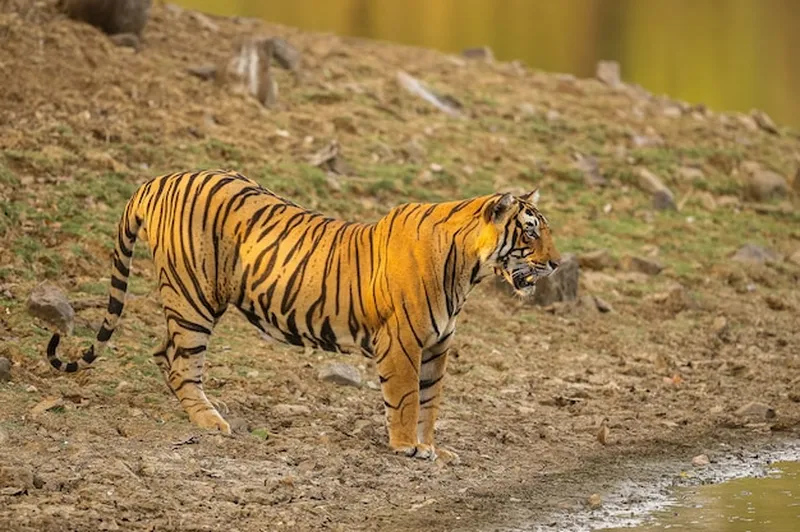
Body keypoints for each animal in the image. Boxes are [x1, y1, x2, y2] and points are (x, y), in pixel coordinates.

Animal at [47, 170, 560, 462]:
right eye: (531, 233)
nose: (556, 264)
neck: (468, 271)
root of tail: (158, 180)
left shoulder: (437, 346)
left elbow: (431, 403)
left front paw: (431, 447)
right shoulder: (402, 343)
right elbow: (407, 400)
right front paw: (406, 447)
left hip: (185, 299)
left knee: (164, 352)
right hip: (194, 296)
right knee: (181, 363)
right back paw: (210, 422)